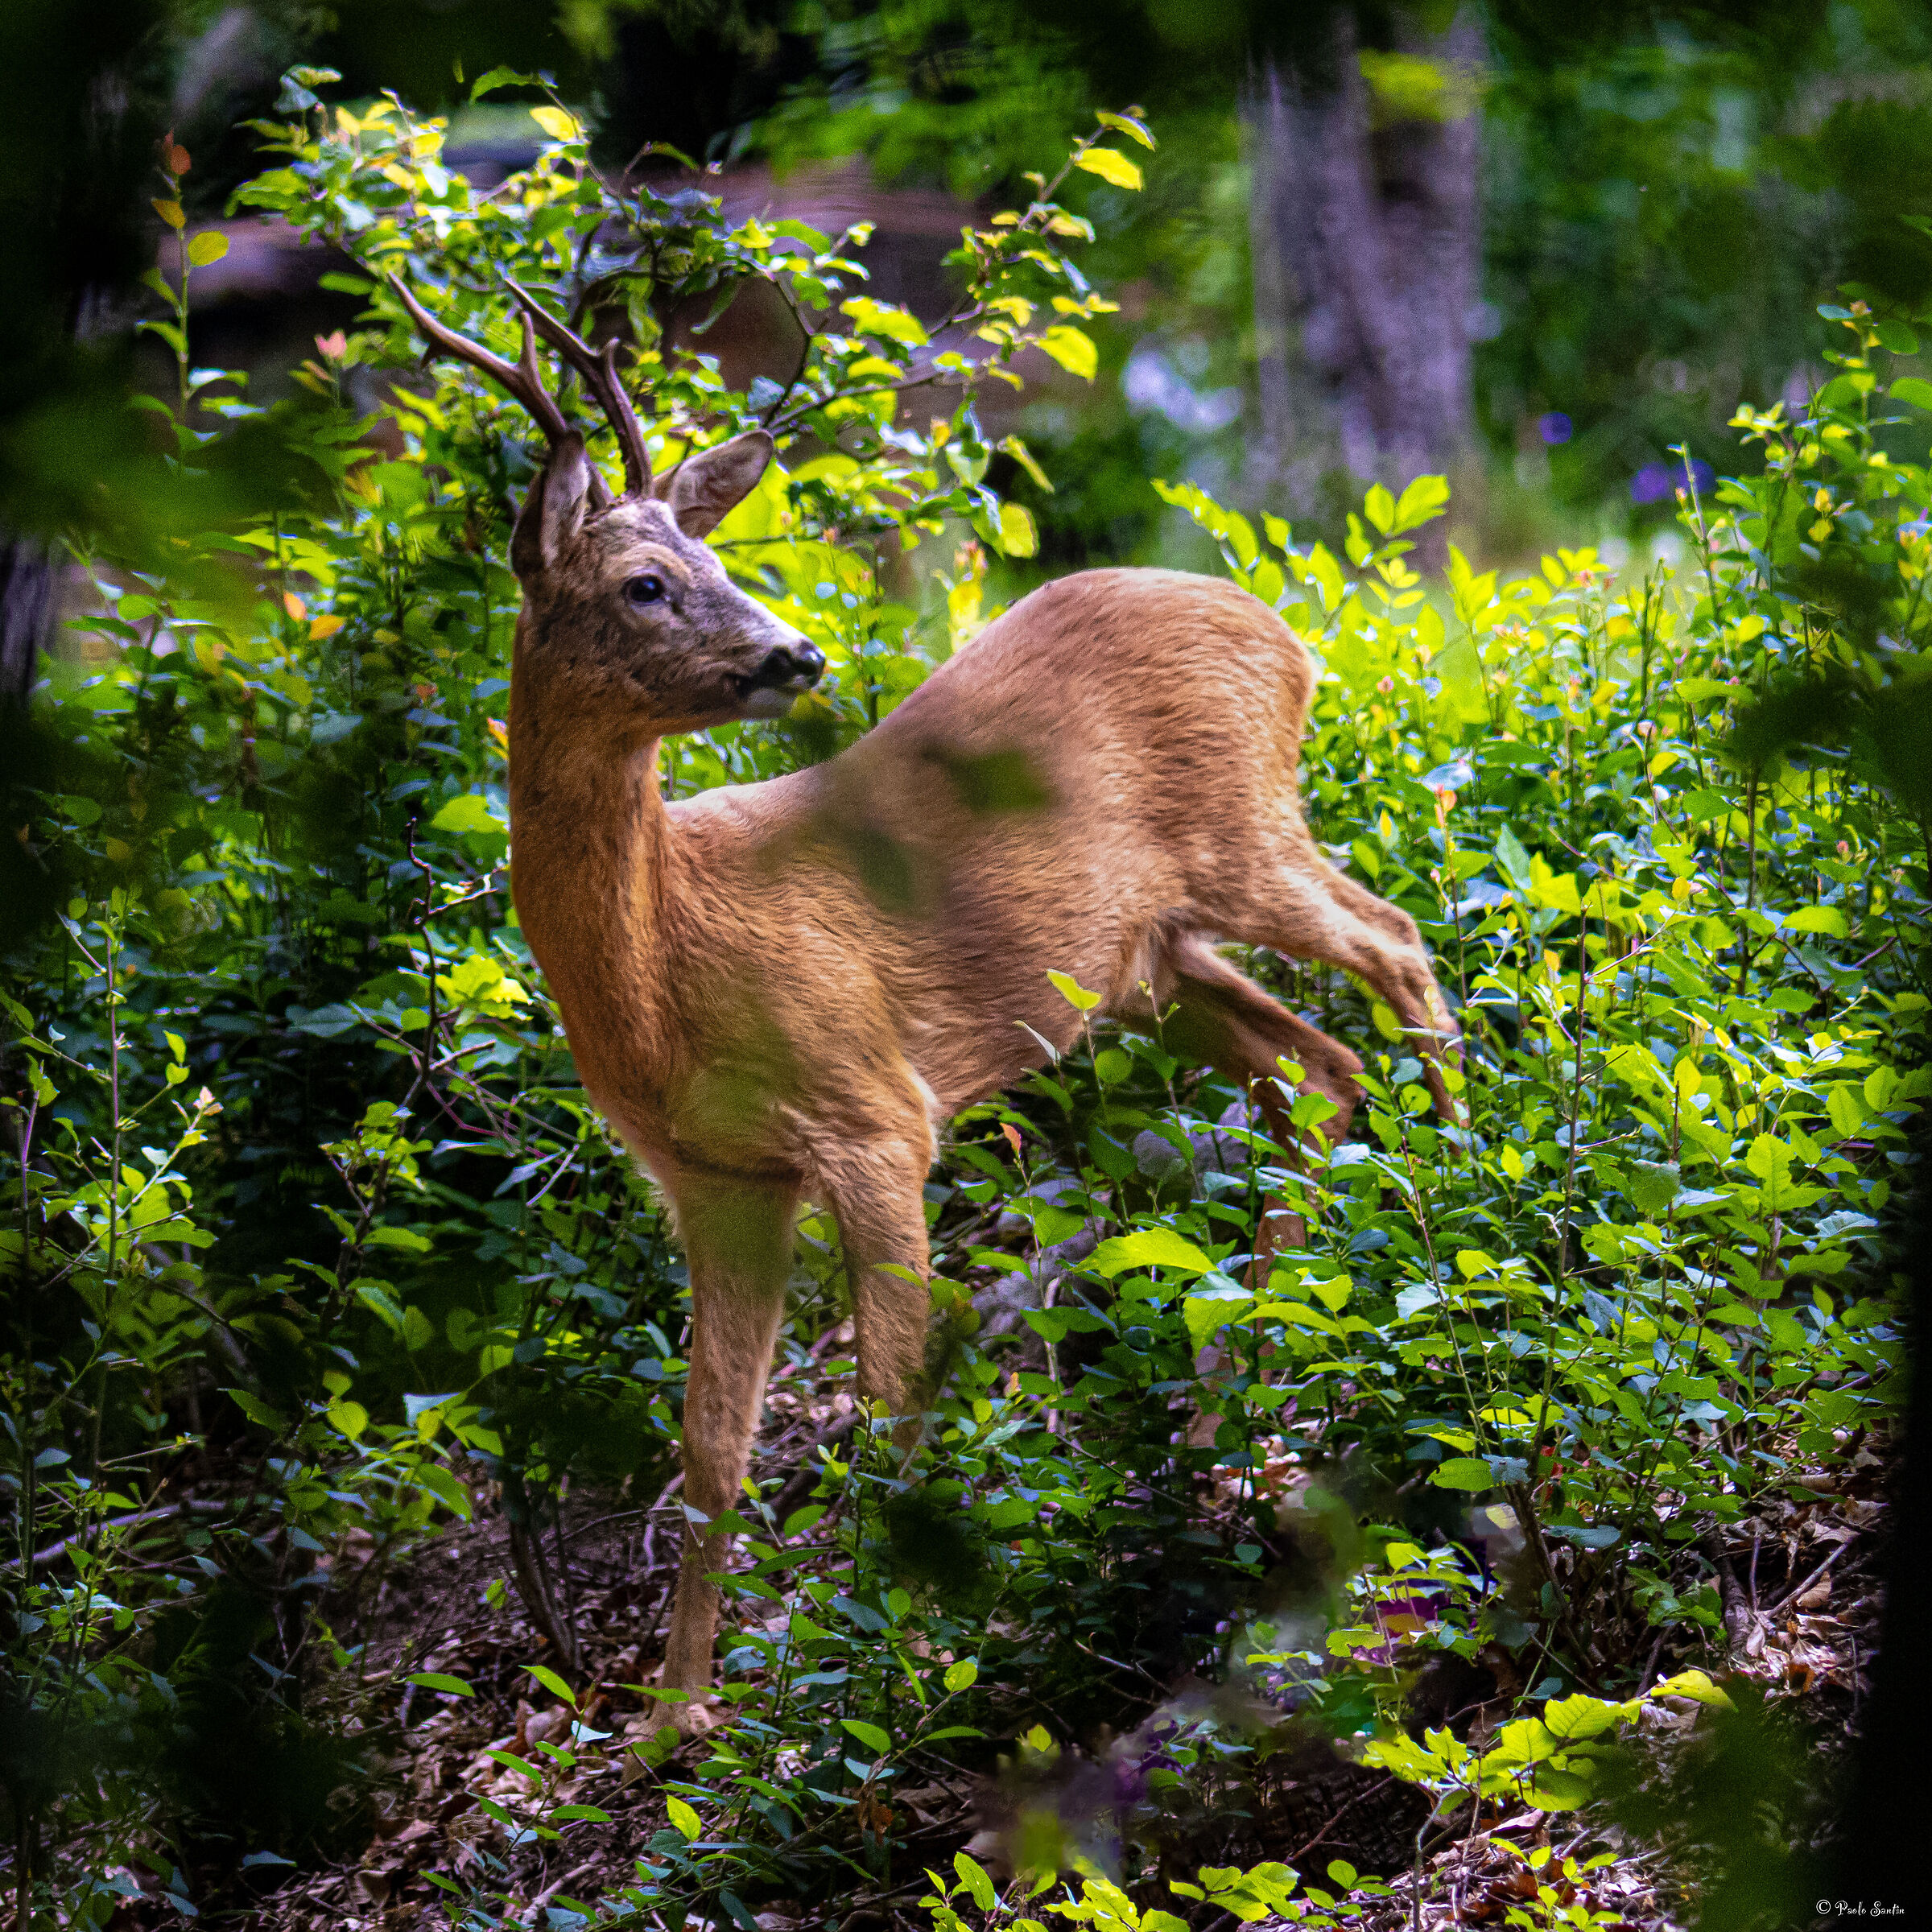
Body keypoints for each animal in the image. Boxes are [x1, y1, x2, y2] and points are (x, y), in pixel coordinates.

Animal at [391, 273, 1459, 1734]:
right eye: (647, 583)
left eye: (720, 564)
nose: (794, 652)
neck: (668, 969)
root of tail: (1287, 632)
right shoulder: (717, 1179)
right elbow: (710, 1446)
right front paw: (674, 1721)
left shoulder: (873, 1113)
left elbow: (892, 1407)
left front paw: (893, 1668)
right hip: (1146, 966)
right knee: (1311, 1065)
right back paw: (1231, 1407)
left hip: (1244, 836)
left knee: (1397, 947)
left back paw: (1463, 1204)